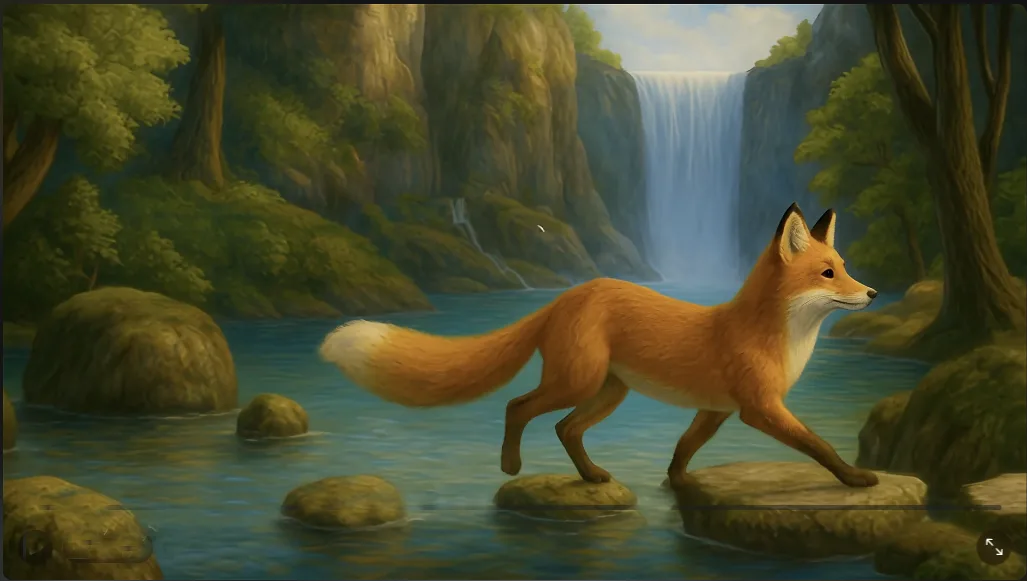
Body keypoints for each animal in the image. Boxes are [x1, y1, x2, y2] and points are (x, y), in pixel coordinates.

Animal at [318, 203, 882, 489]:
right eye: (828, 273)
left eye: (845, 266)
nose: (873, 293)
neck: (773, 334)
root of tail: (566, 296)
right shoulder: (759, 408)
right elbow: (818, 445)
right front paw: (856, 477)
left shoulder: (715, 410)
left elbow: (684, 446)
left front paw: (676, 482)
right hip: (578, 381)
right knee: (517, 406)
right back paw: (510, 467)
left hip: (608, 392)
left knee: (565, 429)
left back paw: (590, 476)